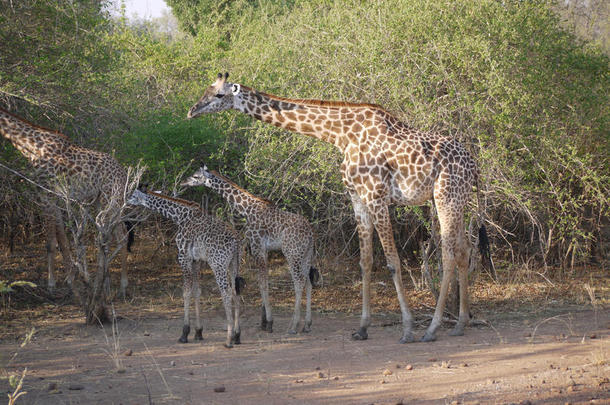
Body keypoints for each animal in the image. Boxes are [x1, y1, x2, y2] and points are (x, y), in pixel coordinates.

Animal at [0, 107, 132, 296]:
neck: (31, 146)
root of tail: (123, 174)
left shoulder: (45, 192)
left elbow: (50, 243)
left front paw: (51, 284)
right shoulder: (53, 195)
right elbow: (62, 239)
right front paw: (71, 278)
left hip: (111, 198)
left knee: (122, 235)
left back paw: (122, 285)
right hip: (100, 201)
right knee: (109, 235)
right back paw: (104, 284)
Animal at [126, 188, 245, 346]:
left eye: (133, 195)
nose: (126, 201)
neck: (180, 216)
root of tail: (237, 241)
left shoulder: (184, 257)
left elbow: (186, 292)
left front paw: (184, 333)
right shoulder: (196, 260)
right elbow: (197, 291)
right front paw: (198, 332)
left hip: (218, 264)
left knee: (226, 292)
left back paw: (228, 339)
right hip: (234, 264)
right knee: (236, 291)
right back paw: (237, 335)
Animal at [179, 163, 318, 332]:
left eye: (196, 176)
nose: (183, 182)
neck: (247, 209)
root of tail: (311, 233)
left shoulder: (257, 246)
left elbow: (262, 282)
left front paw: (268, 322)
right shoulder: (263, 249)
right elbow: (263, 281)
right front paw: (264, 321)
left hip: (292, 253)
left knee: (299, 281)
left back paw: (293, 326)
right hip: (307, 254)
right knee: (308, 282)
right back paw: (307, 324)